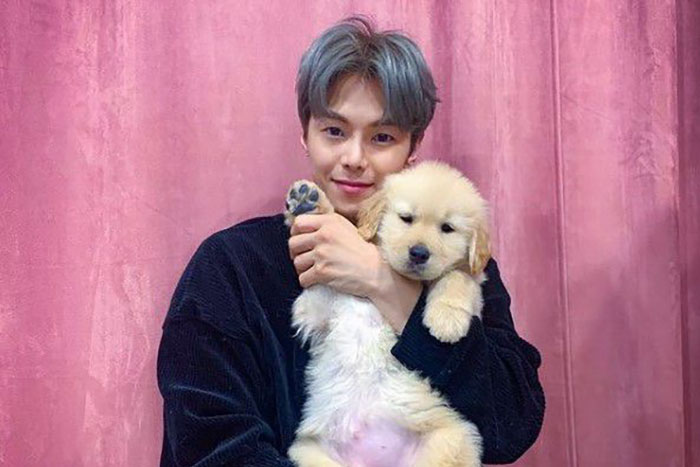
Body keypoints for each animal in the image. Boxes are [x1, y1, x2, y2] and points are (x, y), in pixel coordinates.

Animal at [284, 161, 491, 467]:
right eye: (406, 218)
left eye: (447, 228)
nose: (419, 253)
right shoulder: (315, 309)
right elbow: (323, 284)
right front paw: (311, 202)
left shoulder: (473, 283)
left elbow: (457, 277)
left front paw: (446, 320)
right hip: (309, 453)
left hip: (452, 441)